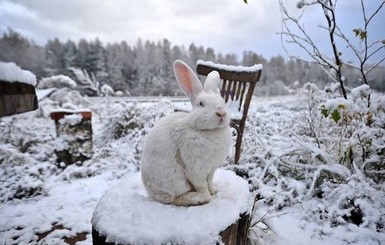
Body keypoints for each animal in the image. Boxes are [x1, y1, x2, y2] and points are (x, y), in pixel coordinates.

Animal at [140, 59, 231, 207]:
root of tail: (149, 191)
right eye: (201, 104)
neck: (208, 131)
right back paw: (196, 198)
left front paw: (214, 191)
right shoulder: (197, 170)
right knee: (171, 198)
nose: (221, 113)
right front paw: (208, 197)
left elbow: (209, 182)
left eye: (222, 101)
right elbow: (201, 185)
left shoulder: (211, 170)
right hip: (174, 182)